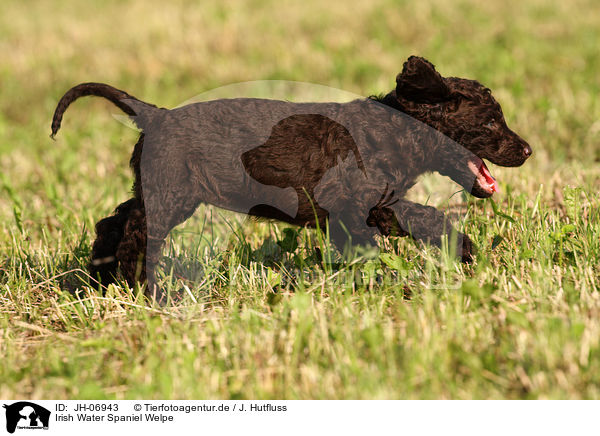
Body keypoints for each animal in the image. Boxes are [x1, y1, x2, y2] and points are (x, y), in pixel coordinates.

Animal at [50, 57, 528, 304]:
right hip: (171, 195)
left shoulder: (379, 204)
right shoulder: (351, 205)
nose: (526, 151)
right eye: (490, 122)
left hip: (158, 191)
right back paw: (139, 289)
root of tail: (156, 115)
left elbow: (424, 218)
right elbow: (375, 246)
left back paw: (99, 280)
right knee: (136, 232)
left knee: (113, 222)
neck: (397, 129)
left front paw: (462, 249)